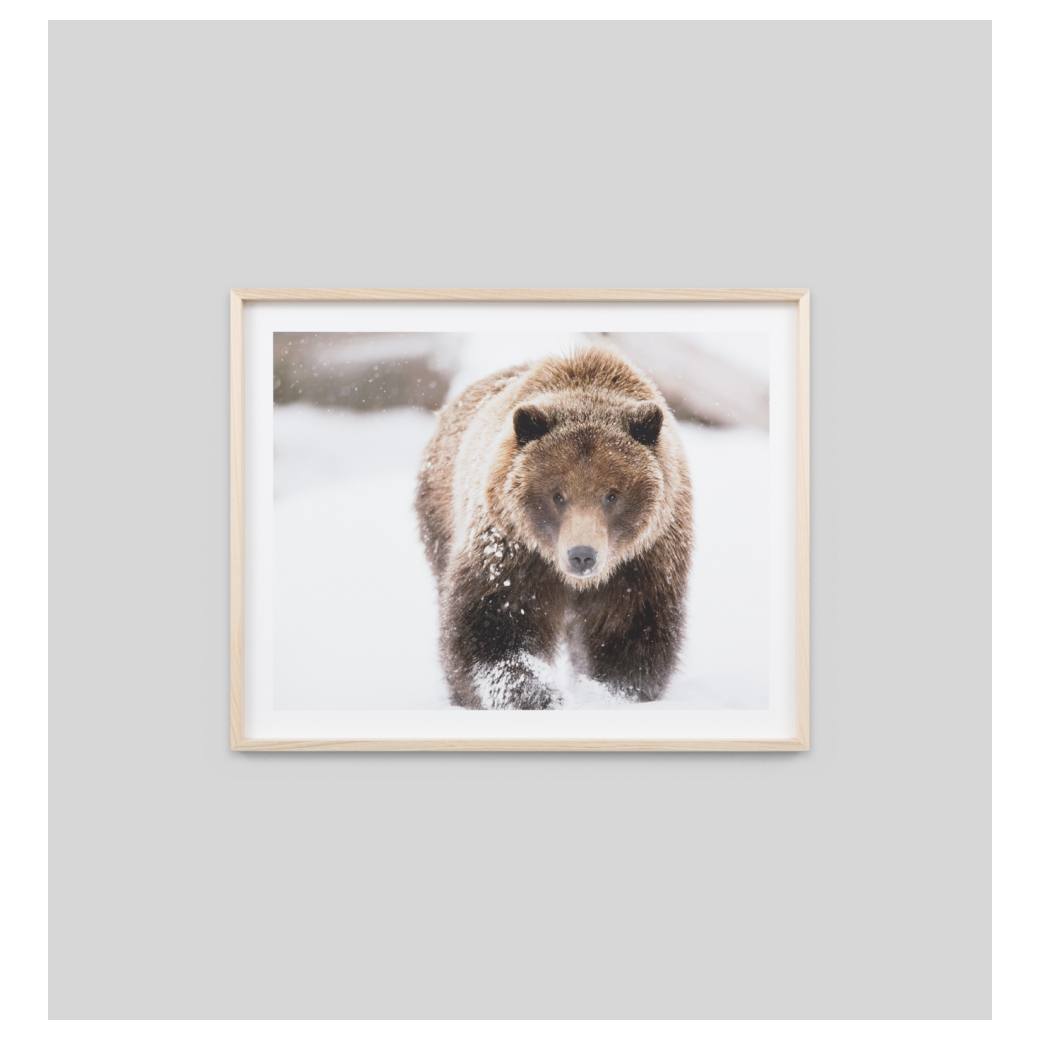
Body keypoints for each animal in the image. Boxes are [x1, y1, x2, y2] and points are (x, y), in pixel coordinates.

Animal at [415, 346, 693, 709]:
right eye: (558, 494)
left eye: (611, 494)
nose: (582, 555)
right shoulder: (512, 552)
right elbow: (493, 627)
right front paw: (534, 695)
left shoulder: (642, 563)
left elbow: (629, 632)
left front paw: (609, 693)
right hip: (440, 515)